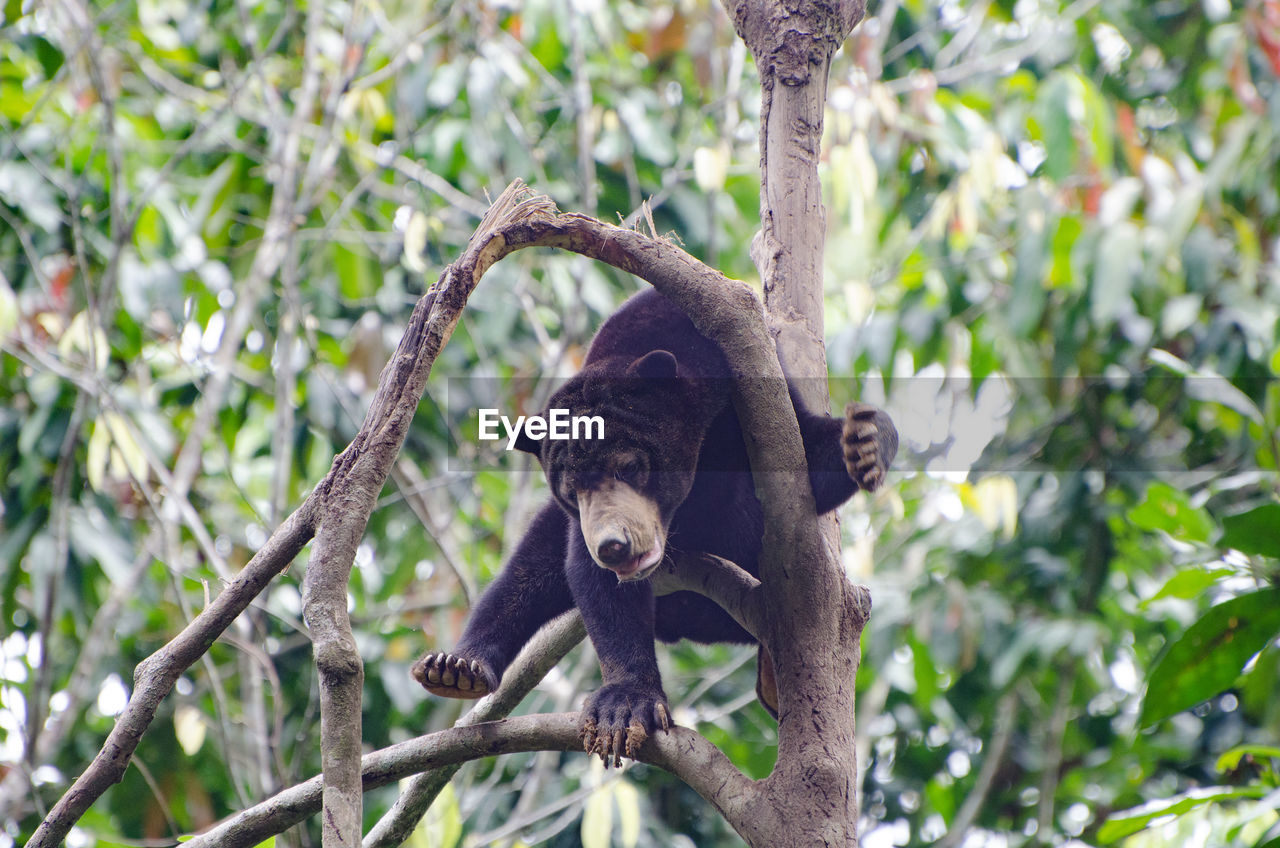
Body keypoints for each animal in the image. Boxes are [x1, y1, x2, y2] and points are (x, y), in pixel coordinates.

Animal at [414, 289, 896, 768]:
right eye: (572, 489)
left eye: (630, 467)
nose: (614, 545)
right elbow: (588, 578)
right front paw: (624, 707)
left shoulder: (759, 396)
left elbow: (810, 459)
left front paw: (865, 442)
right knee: (527, 568)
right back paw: (455, 669)